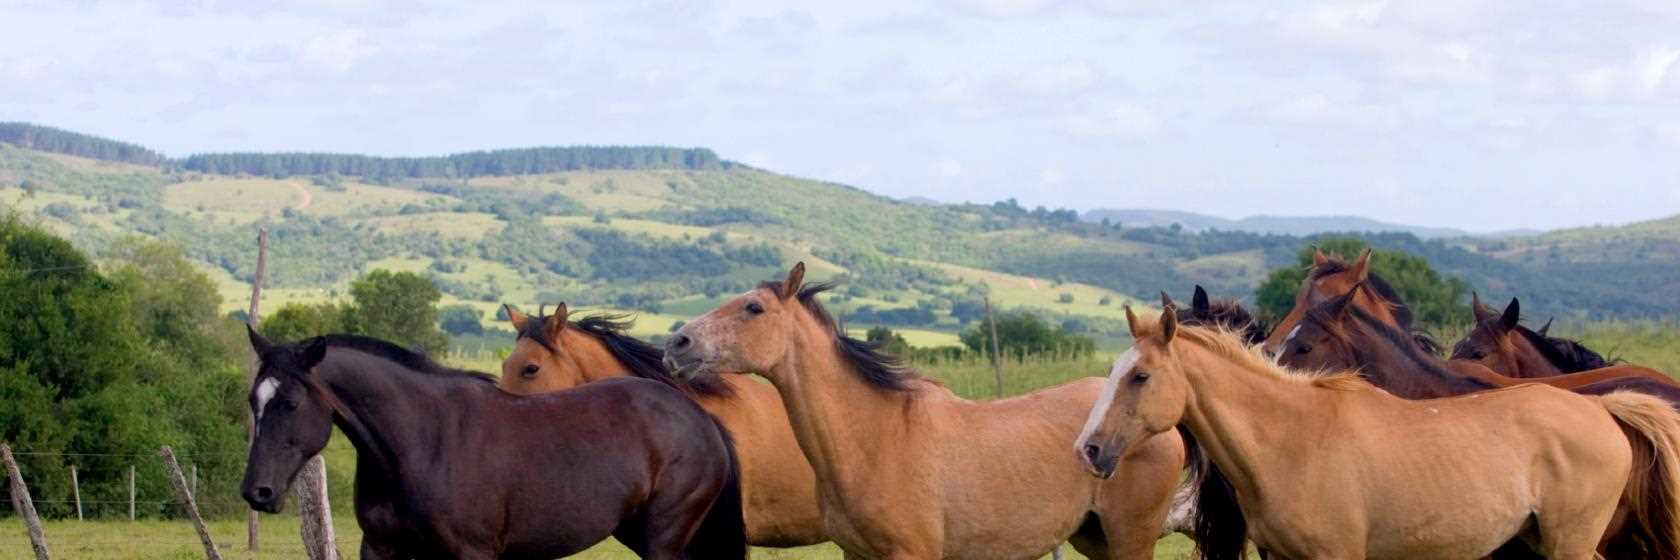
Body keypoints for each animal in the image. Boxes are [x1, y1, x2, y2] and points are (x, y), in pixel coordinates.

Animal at [241, 327, 749, 558]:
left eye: (290, 402)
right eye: (253, 400)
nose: (256, 492)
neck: (424, 442)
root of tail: (700, 419)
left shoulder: (473, 553)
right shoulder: (382, 548)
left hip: (665, 536)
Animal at [661, 262, 1189, 558]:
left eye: (752, 308)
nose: (677, 343)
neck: (875, 437)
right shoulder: (857, 555)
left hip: (1131, 538)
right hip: (1094, 539)